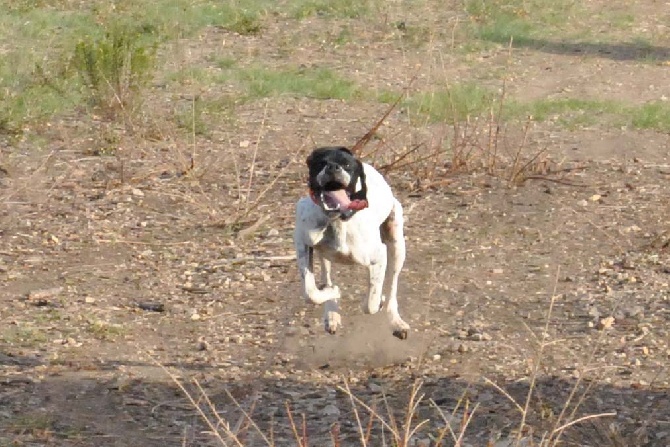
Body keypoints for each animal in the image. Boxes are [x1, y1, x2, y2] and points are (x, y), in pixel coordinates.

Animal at [296, 147, 412, 340]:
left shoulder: (379, 257)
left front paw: (377, 301)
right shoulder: (302, 243)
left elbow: (371, 303)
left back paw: (395, 321)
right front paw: (333, 293)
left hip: (396, 246)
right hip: (324, 254)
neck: (338, 219)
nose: (333, 167)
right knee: (326, 276)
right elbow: (310, 292)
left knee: (391, 288)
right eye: (320, 162)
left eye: (347, 165)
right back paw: (332, 312)